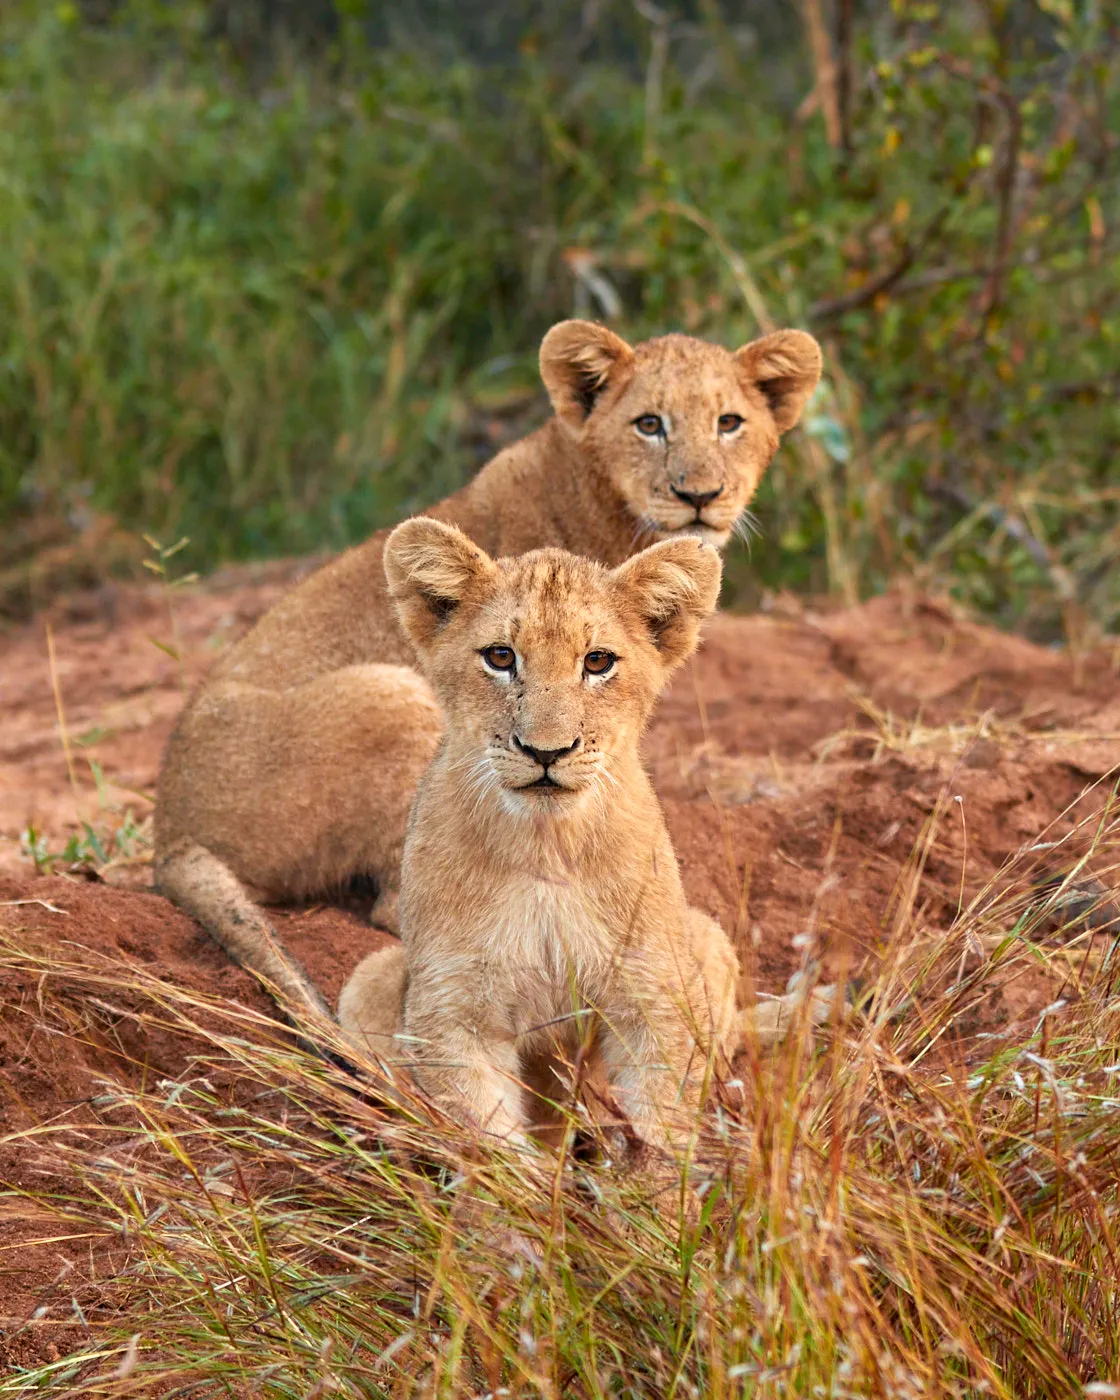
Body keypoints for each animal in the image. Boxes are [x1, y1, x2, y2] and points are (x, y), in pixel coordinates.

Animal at [154, 320, 822, 1028]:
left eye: (730, 422)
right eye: (649, 424)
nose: (700, 497)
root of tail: (168, 834)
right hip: (391, 693)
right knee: (402, 908)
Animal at [337, 519, 833, 1150]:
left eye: (597, 661)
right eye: (500, 656)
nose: (546, 752)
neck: (548, 845)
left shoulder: (654, 994)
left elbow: (663, 1128)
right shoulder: (453, 1011)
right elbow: (489, 1143)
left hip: (706, 937)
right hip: (371, 977)